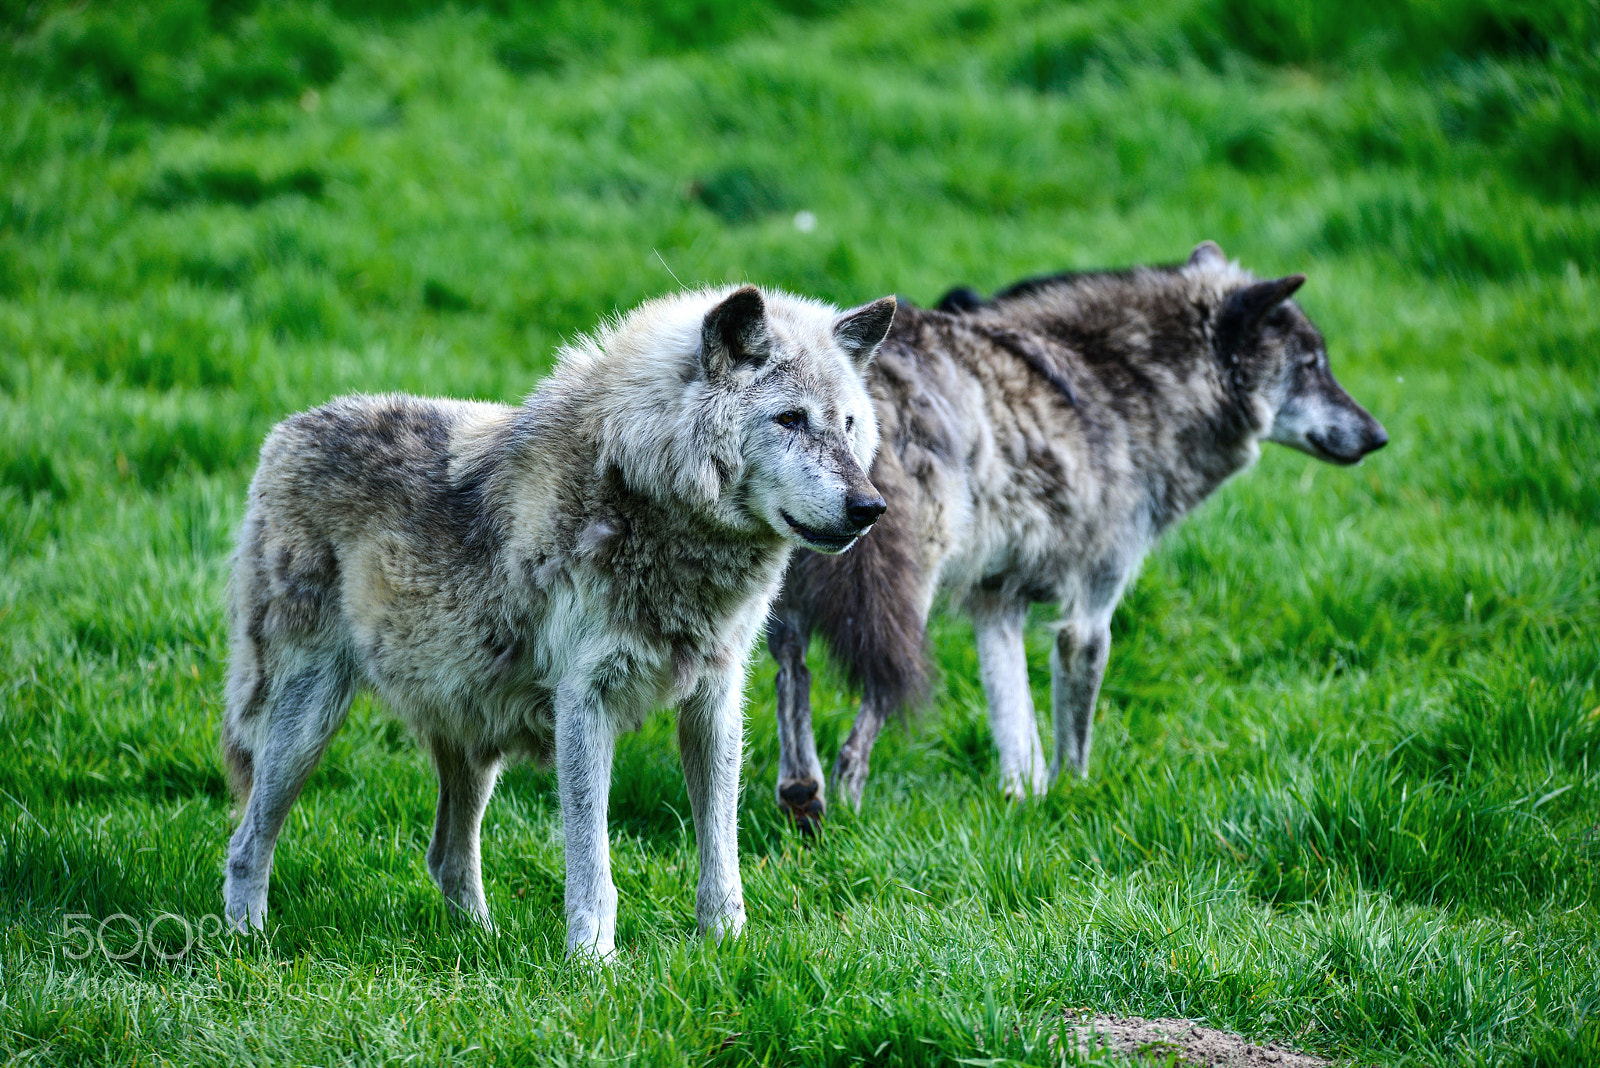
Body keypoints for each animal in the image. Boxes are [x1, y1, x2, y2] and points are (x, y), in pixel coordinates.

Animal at [221, 284, 897, 956]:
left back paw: (482, 944)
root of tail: (284, 432)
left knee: (446, 857)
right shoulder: (584, 702)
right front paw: (593, 961)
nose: (871, 507)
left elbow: (720, 851)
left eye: (847, 424)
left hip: (471, 740)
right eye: (790, 419)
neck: (641, 491)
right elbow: (592, 858)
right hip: (308, 724)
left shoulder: (715, 700)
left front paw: (724, 946)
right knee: (246, 841)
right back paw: (248, 943)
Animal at [767, 242, 1388, 828]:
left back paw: (801, 796)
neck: (1135, 388)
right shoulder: (1088, 618)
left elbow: (1018, 732)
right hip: (903, 607)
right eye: (1310, 364)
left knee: (793, 672)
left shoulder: (996, 607)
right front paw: (1075, 800)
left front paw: (1022, 804)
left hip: (788, 606)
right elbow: (1072, 744)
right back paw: (843, 811)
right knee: (858, 736)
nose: (1379, 435)